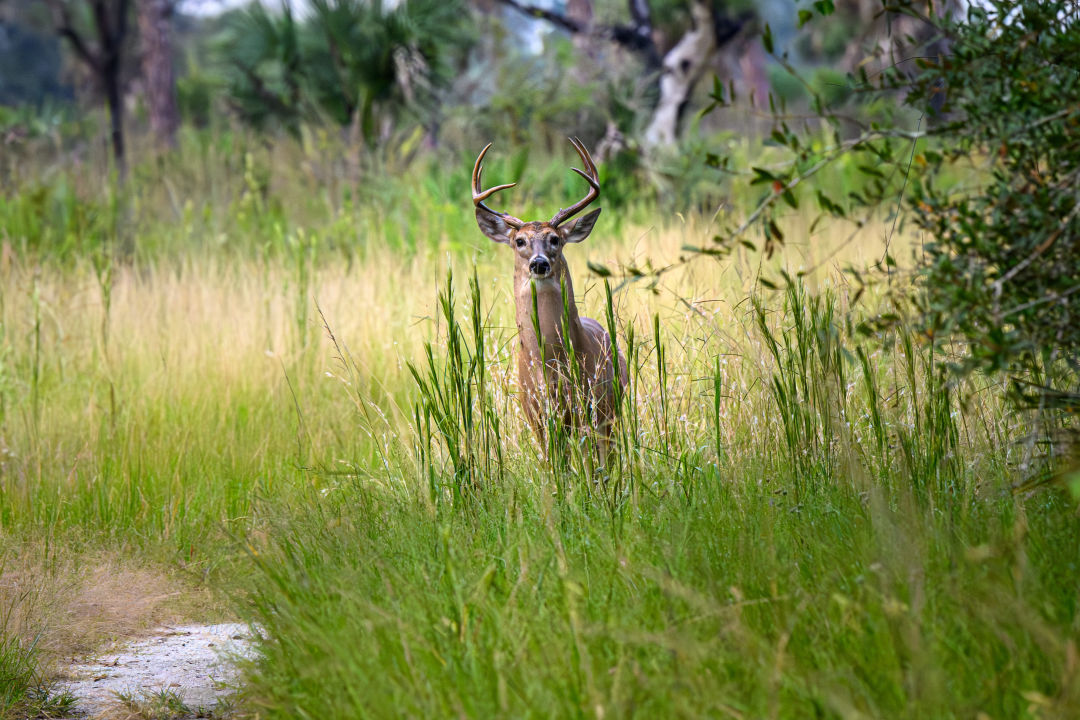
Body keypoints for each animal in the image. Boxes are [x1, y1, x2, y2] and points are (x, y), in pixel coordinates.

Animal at [468, 136, 630, 462]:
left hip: (610, 410)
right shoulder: (537, 417)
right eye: (520, 241)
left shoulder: (586, 409)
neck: (550, 366)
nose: (539, 263)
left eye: (555, 239)